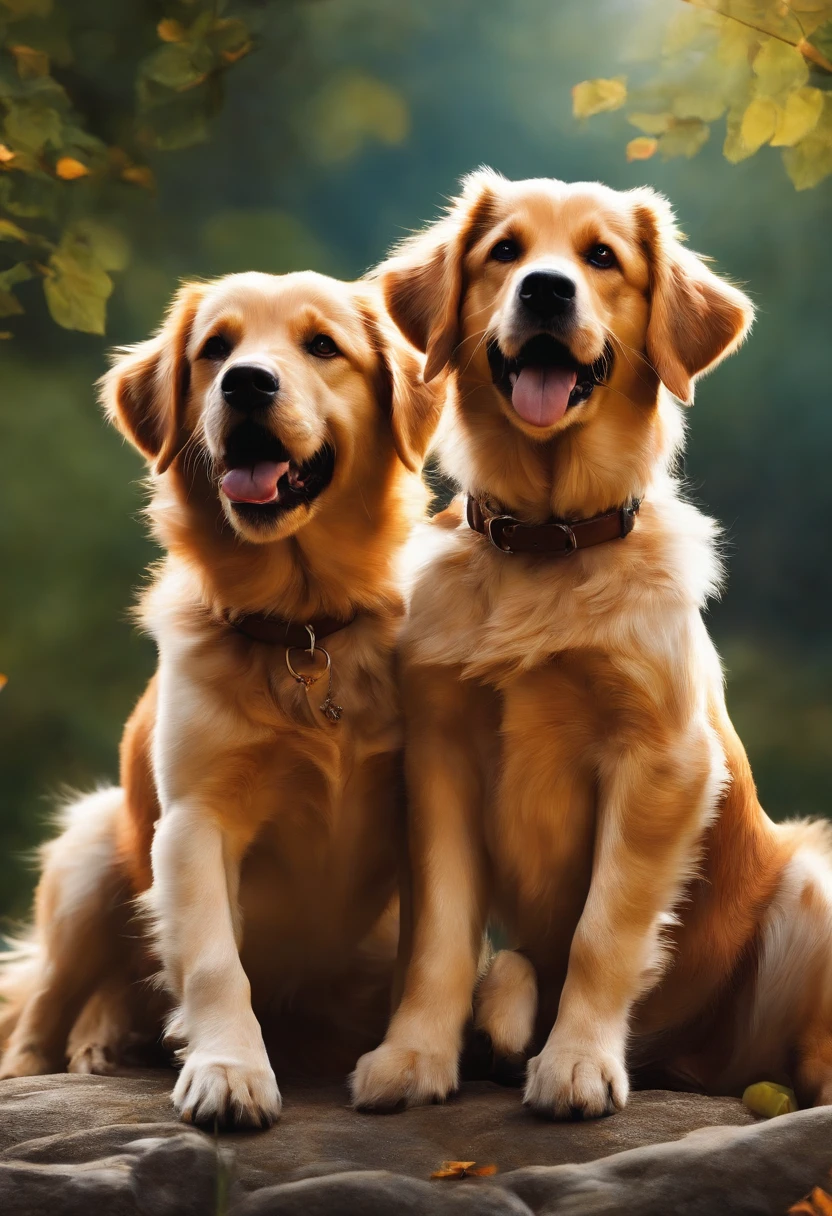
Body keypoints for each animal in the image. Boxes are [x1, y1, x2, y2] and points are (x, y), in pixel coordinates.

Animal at [0, 271, 442, 1123]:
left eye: (322, 345)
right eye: (215, 349)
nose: (246, 383)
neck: (304, 627)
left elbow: (433, 948)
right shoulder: (195, 819)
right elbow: (212, 961)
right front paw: (229, 1069)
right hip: (89, 855)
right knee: (41, 1011)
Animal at [350, 171, 832, 1118]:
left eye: (602, 257)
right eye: (504, 251)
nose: (545, 289)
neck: (548, 540)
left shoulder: (660, 761)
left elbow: (602, 932)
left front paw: (575, 1064)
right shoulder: (441, 754)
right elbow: (441, 936)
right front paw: (414, 1056)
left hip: (810, 886)